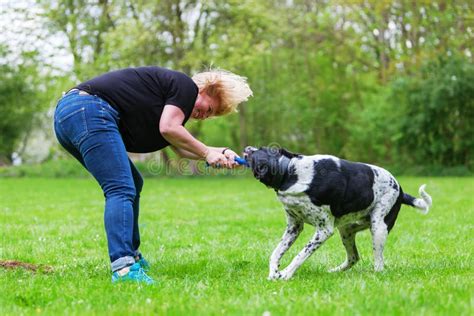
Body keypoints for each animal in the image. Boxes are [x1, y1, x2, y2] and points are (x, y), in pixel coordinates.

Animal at [243, 147, 432, 280]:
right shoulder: (294, 227)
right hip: (347, 229)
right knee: (354, 257)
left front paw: (286, 274)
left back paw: (374, 274)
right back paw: (334, 271)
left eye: (257, 151)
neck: (291, 172)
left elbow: (300, 255)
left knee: (379, 264)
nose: (246, 148)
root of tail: (400, 190)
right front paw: (273, 273)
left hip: (378, 228)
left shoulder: (324, 230)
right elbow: (276, 253)